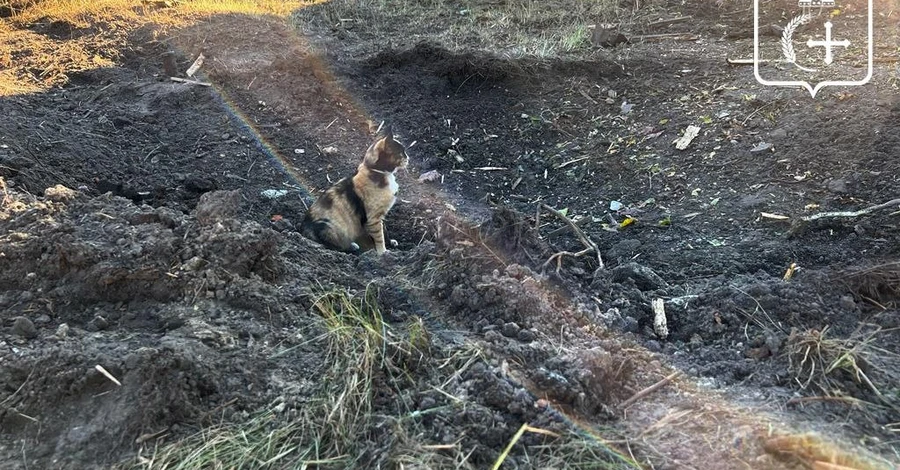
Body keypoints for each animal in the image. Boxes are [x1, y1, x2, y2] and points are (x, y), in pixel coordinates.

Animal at [300, 126, 410, 255]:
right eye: (401, 152)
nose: (408, 158)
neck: (375, 171)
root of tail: (302, 228)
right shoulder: (373, 218)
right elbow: (379, 237)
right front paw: (383, 253)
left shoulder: (380, 216)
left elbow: (385, 231)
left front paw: (390, 243)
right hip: (326, 226)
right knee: (333, 246)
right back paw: (352, 247)